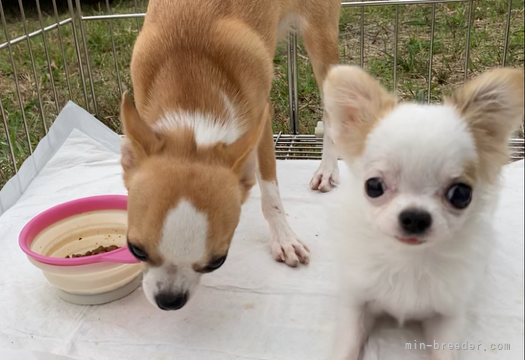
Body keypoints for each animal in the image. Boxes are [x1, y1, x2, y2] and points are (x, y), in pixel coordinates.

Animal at [326, 65, 520, 360]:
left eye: (461, 195)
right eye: (373, 186)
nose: (415, 217)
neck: (409, 260)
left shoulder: (448, 316)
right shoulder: (357, 302)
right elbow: (347, 346)